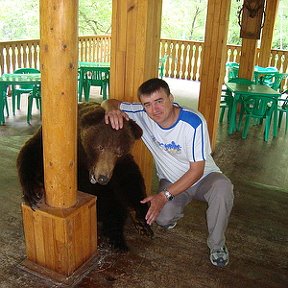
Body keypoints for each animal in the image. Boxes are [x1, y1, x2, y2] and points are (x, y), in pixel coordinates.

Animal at [16, 102, 154, 251]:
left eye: (119, 151)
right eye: (100, 146)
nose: (103, 178)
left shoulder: (119, 167)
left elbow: (131, 182)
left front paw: (143, 219)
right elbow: (31, 152)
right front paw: (34, 192)